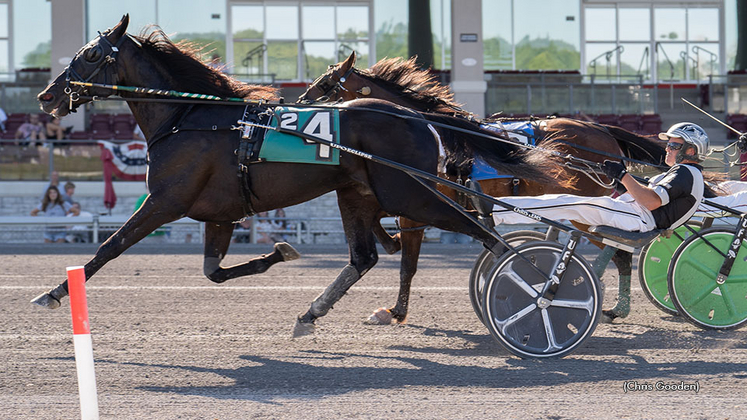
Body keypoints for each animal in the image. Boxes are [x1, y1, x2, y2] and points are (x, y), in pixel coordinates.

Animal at [32, 16, 564, 336]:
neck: (190, 117)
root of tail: (419, 118)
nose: (46, 95)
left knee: (485, 237)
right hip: (359, 194)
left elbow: (108, 247)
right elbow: (213, 272)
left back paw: (541, 290)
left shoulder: (165, 201)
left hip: (410, 194)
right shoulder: (219, 214)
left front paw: (55, 292)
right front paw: (279, 253)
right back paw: (313, 312)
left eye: (90, 54)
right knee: (368, 256)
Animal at [300, 52, 668, 324]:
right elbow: (382, 227)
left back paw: (613, 305)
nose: (301, 101)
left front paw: (395, 311)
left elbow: (407, 265)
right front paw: (390, 245)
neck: (435, 131)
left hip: (588, 205)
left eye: (326, 84)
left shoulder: (416, 204)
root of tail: (603, 130)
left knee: (620, 252)